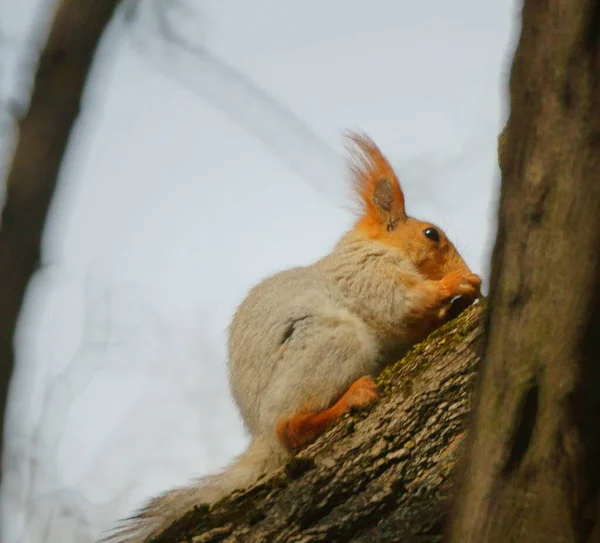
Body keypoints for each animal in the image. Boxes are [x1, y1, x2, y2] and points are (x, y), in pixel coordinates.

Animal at [105, 132, 482, 543]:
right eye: (432, 234)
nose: (464, 268)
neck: (375, 248)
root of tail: (261, 432)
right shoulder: (368, 278)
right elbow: (401, 304)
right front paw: (458, 283)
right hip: (333, 341)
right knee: (290, 429)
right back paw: (349, 399)